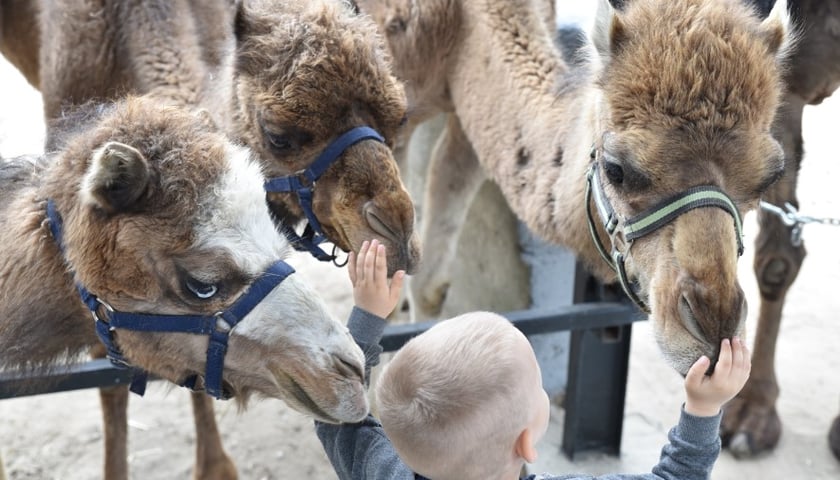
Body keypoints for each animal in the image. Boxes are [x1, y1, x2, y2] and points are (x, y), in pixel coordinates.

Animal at [358, 0, 792, 390]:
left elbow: (430, 284)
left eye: (769, 178)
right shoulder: (394, 108)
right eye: (616, 169)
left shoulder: (474, 113)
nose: (714, 327)